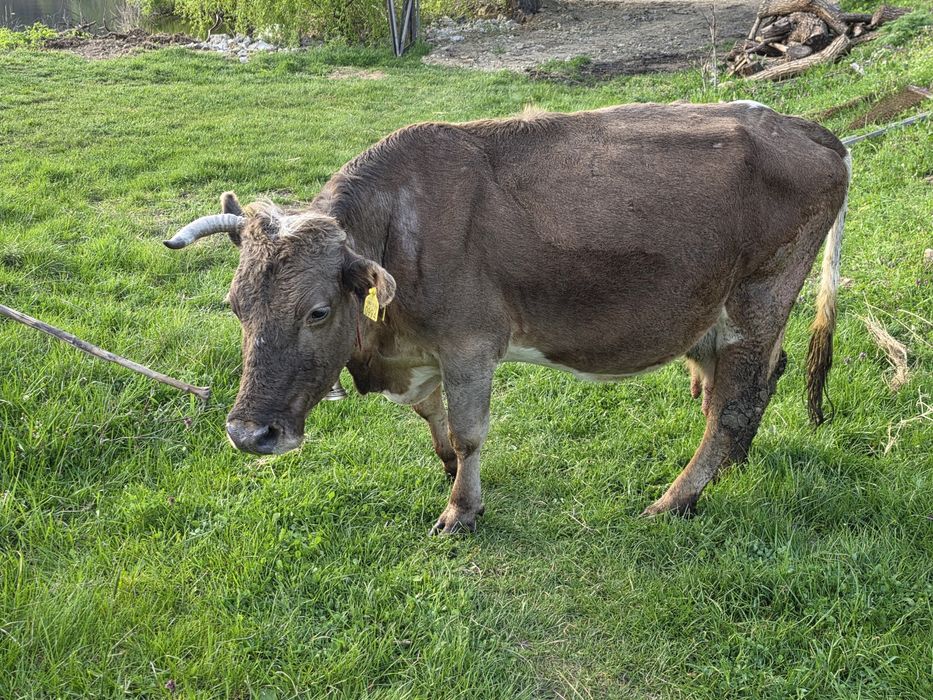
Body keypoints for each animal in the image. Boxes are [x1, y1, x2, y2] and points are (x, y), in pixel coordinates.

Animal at [164, 102, 850, 535]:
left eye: (317, 311)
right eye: (236, 305)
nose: (248, 434)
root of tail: (811, 131)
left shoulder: (469, 344)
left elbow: (469, 430)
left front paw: (461, 510)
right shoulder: (422, 351)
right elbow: (432, 414)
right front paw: (446, 469)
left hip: (758, 299)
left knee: (732, 406)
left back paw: (675, 500)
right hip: (717, 317)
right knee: (750, 384)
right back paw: (727, 469)